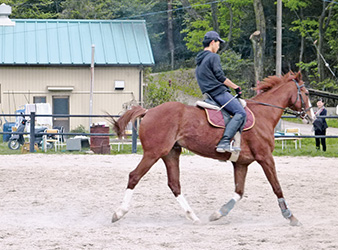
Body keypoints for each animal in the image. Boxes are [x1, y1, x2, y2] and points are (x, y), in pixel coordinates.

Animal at [112, 71, 312, 226]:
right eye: (305, 92)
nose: (310, 116)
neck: (264, 114)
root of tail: (149, 111)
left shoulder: (242, 163)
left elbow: (239, 192)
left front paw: (219, 213)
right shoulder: (265, 157)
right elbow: (276, 186)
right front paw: (290, 216)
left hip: (171, 154)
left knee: (174, 184)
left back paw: (193, 216)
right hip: (153, 153)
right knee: (134, 176)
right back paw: (118, 213)